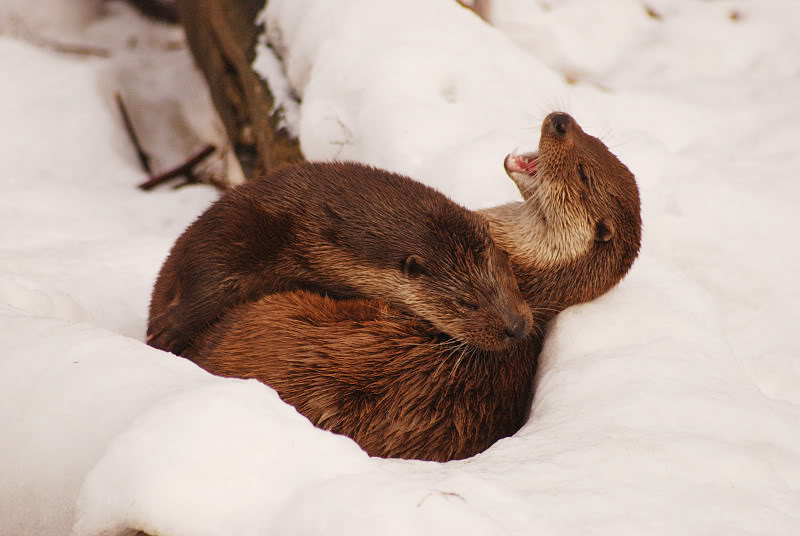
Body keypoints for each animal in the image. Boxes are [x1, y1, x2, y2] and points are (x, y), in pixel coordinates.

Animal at [148, 162, 532, 356]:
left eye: (510, 280)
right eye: (466, 303)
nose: (516, 327)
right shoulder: (236, 229)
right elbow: (208, 273)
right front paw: (170, 328)